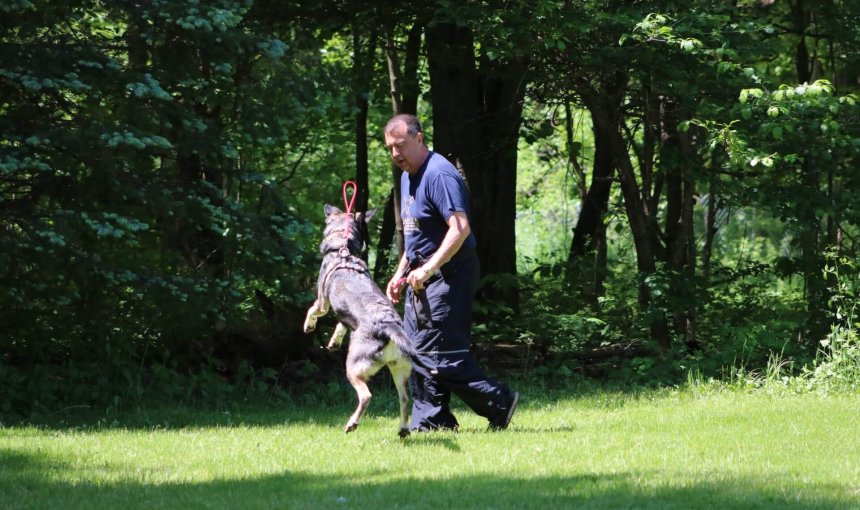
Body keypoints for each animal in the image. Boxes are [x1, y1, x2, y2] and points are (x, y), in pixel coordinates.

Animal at [302, 203, 426, 438]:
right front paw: (334, 341)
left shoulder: (323, 302)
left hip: (353, 368)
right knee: (405, 399)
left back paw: (352, 423)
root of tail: (388, 325)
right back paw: (403, 429)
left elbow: (312, 310)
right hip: (399, 371)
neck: (344, 250)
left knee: (366, 395)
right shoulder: (343, 314)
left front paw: (309, 325)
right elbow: (341, 325)